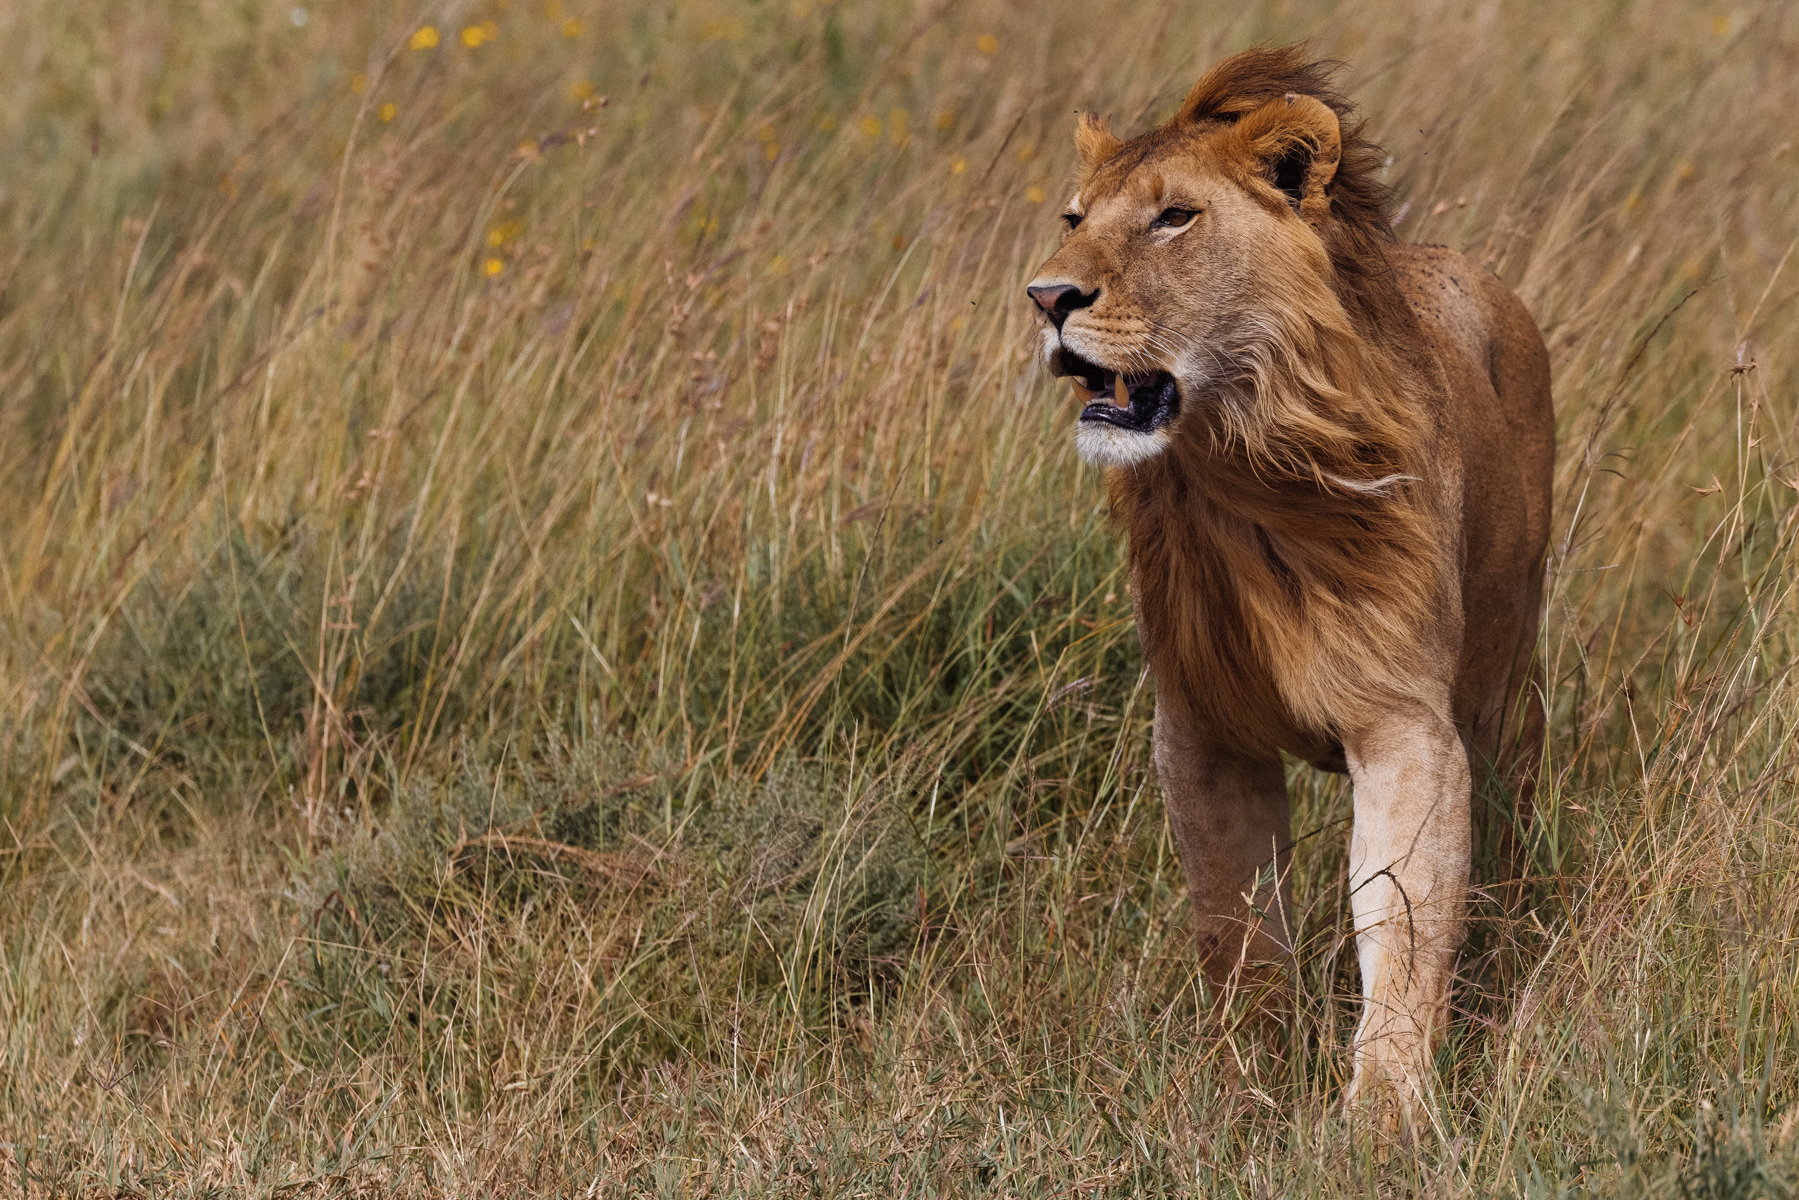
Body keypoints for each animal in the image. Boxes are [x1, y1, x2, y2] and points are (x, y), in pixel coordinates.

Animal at [1025, 45, 1554, 1115]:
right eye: (1072, 218)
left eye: (1173, 218)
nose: (1047, 297)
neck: (1241, 478)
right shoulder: (1201, 730)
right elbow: (1235, 925)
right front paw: (1243, 1081)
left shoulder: (1405, 724)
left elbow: (1402, 924)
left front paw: (1383, 1117)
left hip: (1500, 677)